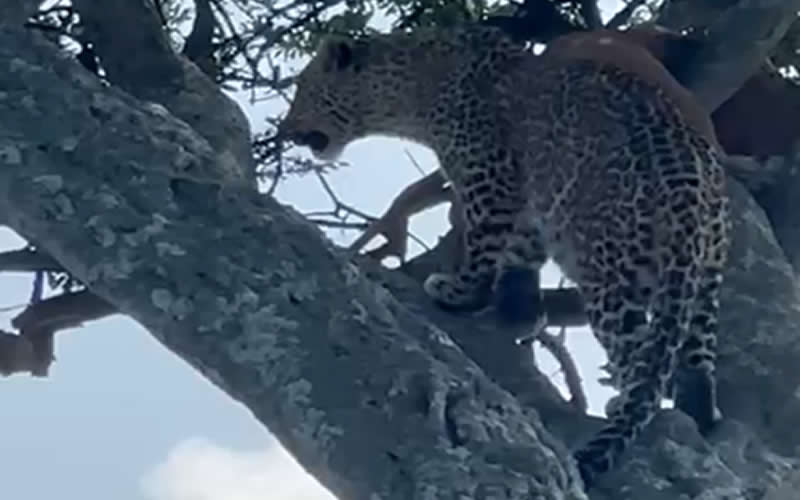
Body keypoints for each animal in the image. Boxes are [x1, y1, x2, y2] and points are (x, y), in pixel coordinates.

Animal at [279, 25, 730, 488]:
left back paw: (629, 406)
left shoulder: (489, 180)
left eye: (305, 90)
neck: (417, 89)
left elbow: (482, 249)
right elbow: (521, 251)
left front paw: (458, 292)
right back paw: (699, 413)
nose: (286, 129)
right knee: (695, 365)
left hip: (611, 274)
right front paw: (521, 309)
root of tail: (688, 184)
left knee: (641, 359)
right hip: (704, 278)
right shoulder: (532, 199)